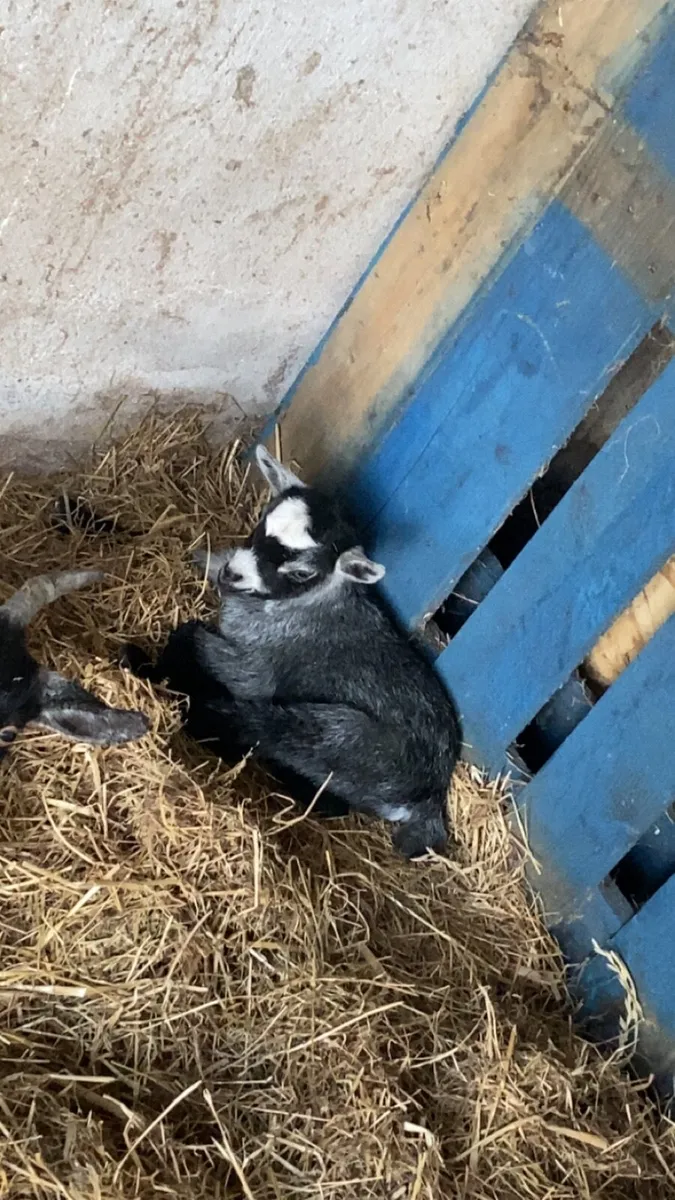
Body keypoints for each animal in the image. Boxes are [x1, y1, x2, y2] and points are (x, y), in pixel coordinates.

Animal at [123, 447, 460, 857]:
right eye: (261, 524)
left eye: (301, 573)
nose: (233, 575)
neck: (300, 607)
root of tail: (432, 794)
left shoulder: (257, 669)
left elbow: (191, 636)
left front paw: (153, 667)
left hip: (344, 739)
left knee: (265, 729)